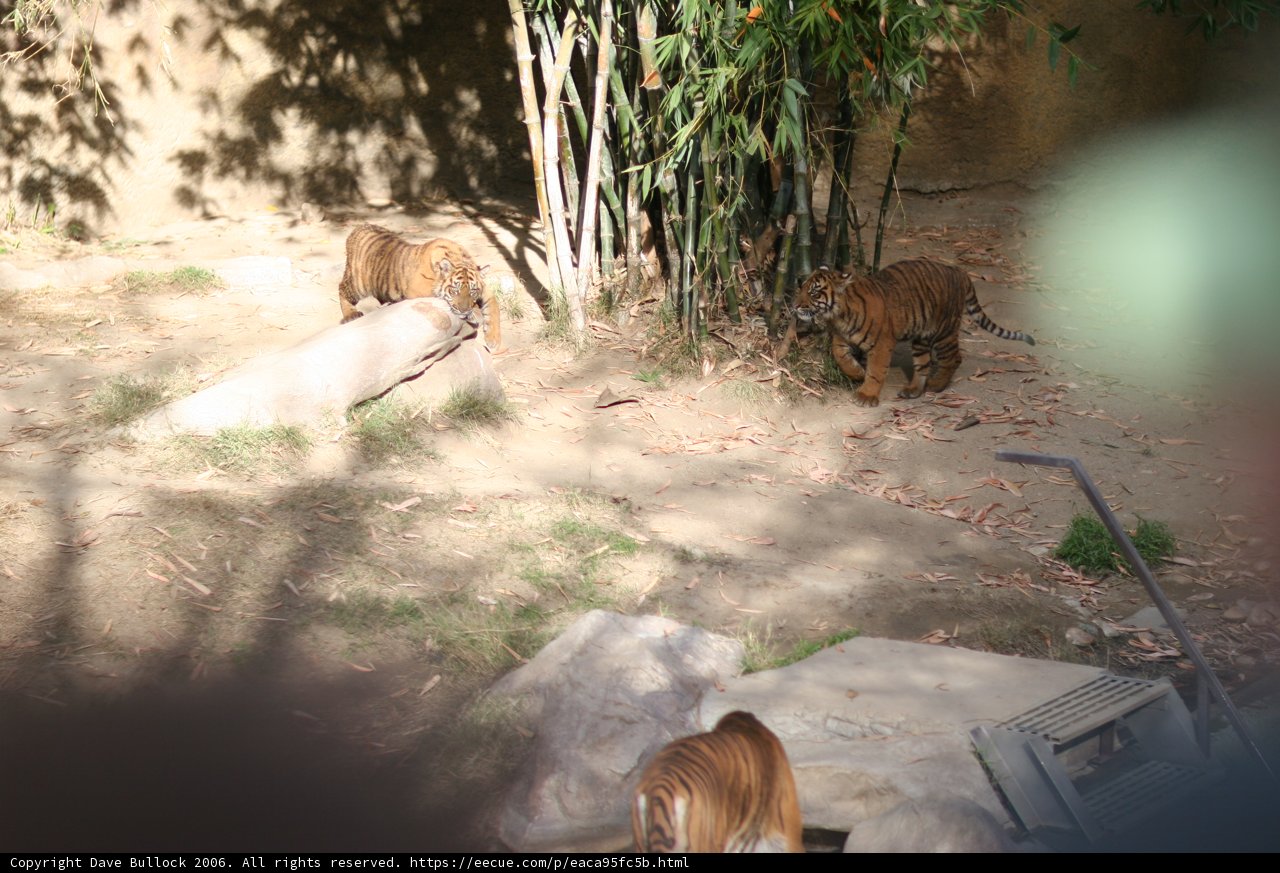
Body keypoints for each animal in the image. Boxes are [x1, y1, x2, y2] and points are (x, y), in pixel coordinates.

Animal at [337, 223, 502, 350]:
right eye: (455, 290)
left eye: (473, 291)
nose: (464, 311)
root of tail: (358, 227)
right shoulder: (418, 288)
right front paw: (474, 314)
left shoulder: (485, 291)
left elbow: (494, 306)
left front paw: (494, 339)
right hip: (358, 283)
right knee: (342, 288)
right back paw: (351, 314)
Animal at [793, 259, 1035, 407]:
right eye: (801, 287)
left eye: (814, 292)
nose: (795, 306)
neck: (840, 315)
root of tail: (960, 272)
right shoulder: (841, 339)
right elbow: (840, 357)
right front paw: (857, 373)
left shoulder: (882, 344)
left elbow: (876, 371)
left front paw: (867, 394)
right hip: (921, 337)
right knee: (923, 364)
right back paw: (913, 390)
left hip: (944, 332)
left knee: (953, 358)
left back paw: (937, 385)